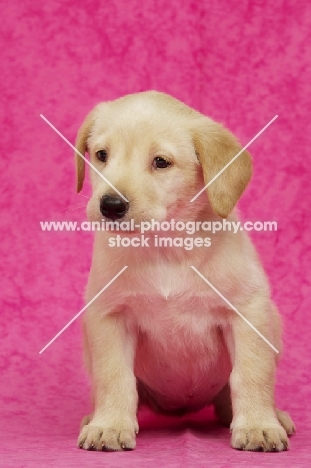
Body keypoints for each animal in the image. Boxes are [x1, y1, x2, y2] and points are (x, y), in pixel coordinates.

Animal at [75, 89, 294, 452]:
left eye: (161, 162)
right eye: (101, 155)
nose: (110, 205)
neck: (165, 248)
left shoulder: (247, 313)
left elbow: (251, 374)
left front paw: (258, 425)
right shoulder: (109, 317)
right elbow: (114, 376)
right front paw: (109, 425)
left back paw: (275, 416)